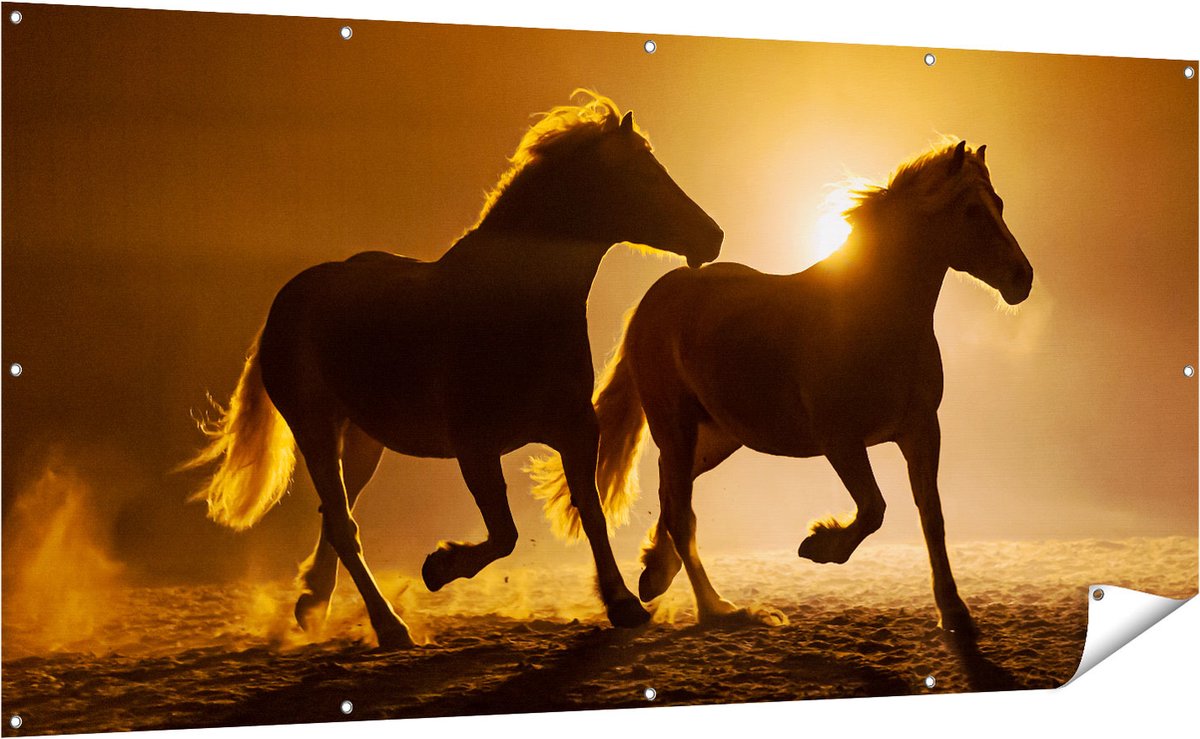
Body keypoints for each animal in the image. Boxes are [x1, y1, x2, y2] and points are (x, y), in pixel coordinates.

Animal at [181, 91, 724, 649]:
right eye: (643, 174)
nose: (714, 236)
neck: (515, 307)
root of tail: (287, 300)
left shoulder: (575, 430)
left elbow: (590, 514)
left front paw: (624, 604)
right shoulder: (474, 444)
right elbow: (504, 533)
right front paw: (438, 568)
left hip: (361, 440)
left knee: (336, 518)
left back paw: (313, 605)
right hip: (314, 428)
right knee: (344, 526)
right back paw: (389, 627)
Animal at [530, 140, 1032, 640]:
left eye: (1000, 205)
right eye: (970, 211)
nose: (1021, 278)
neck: (875, 315)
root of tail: (658, 295)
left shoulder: (922, 430)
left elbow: (932, 517)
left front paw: (956, 613)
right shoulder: (840, 439)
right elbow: (874, 508)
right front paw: (819, 545)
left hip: (717, 438)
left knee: (673, 496)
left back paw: (656, 575)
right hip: (677, 427)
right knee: (678, 512)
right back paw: (716, 609)